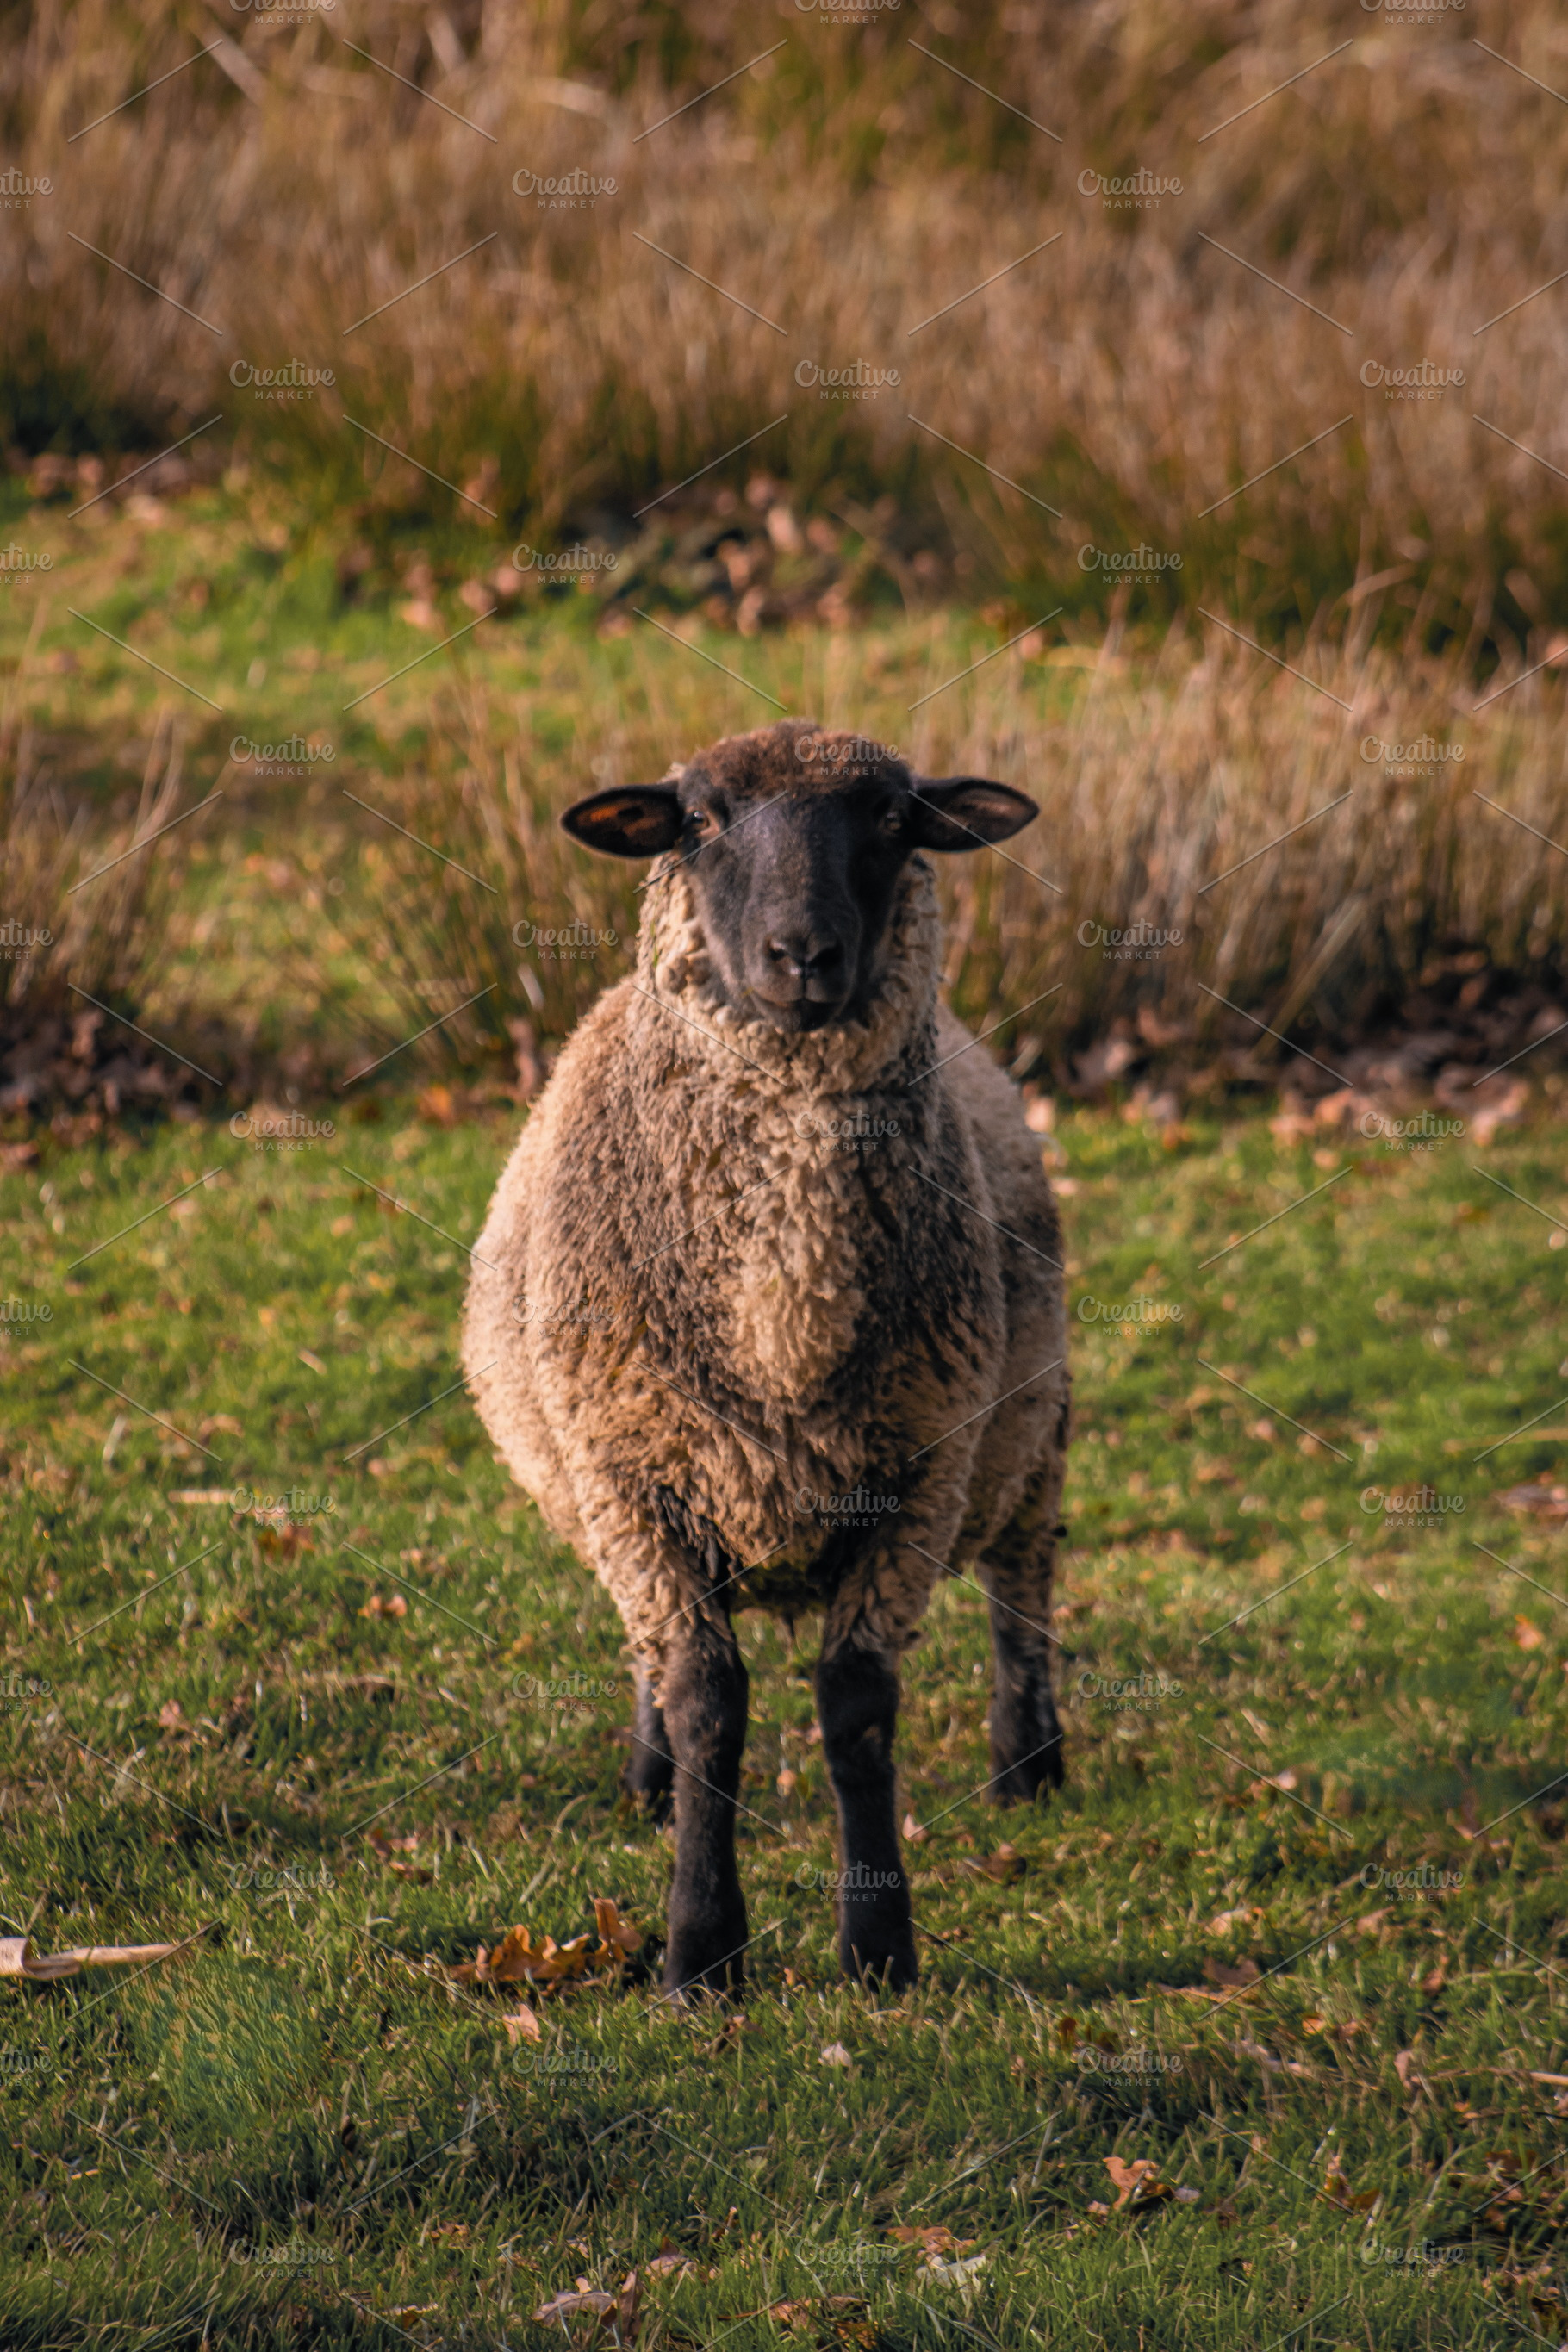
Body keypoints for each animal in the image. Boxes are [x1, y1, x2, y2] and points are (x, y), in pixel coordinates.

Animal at [463, 717, 1070, 1996]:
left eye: (891, 818)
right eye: (700, 819)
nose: (802, 955)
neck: (783, 1307)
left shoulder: (915, 1480)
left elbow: (857, 1710)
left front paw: (878, 1946)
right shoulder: (636, 1479)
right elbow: (707, 1702)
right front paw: (700, 1950)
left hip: (1031, 1430)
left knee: (1024, 1582)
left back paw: (1029, 1762)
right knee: (655, 1653)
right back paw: (648, 1779)